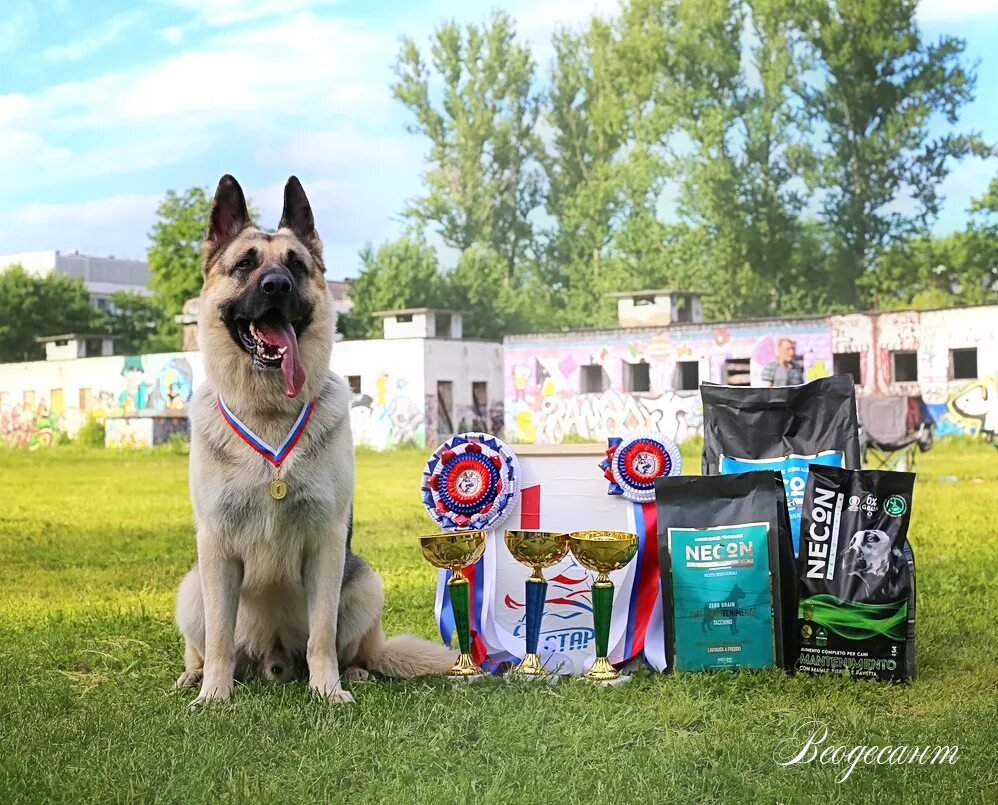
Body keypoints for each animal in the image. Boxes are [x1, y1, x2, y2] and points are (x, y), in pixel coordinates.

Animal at [176, 173, 458, 700]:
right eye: (246, 264)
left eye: (296, 266)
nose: (277, 285)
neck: (269, 412)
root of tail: (271, 659)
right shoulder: (217, 548)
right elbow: (221, 638)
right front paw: (216, 696)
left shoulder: (326, 546)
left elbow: (322, 634)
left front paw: (327, 691)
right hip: (191, 587)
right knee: (210, 646)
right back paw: (196, 675)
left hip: (365, 582)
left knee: (356, 649)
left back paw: (356, 672)